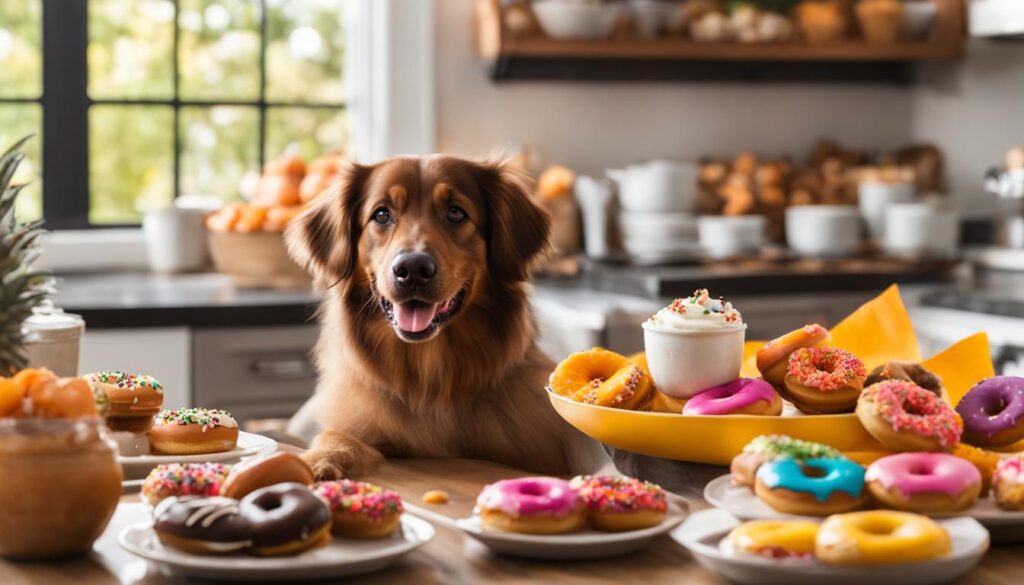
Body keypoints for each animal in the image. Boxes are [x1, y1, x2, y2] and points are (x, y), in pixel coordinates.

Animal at [284, 155, 598, 481]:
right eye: (381, 214)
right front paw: (319, 460)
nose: (412, 269)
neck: (431, 379)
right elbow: (339, 437)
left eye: (456, 213)